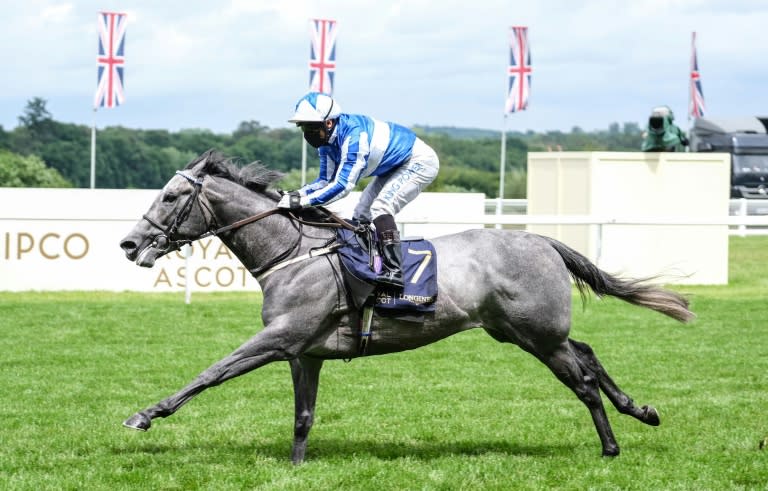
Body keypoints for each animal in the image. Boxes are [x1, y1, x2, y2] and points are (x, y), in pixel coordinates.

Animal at [120, 150, 696, 466]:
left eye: (170, 197)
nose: (129, 244)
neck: (294, 251)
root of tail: (543, 239)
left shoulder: (281, 338)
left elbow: (211, 372)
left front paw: (145, 414)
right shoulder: (305, 352)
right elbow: (303, 416)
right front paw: (297, 466)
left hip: (537, 336)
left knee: (583, 382)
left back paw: (611, 447)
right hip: (522, 331)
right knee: (589, 352)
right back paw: (640, 410)